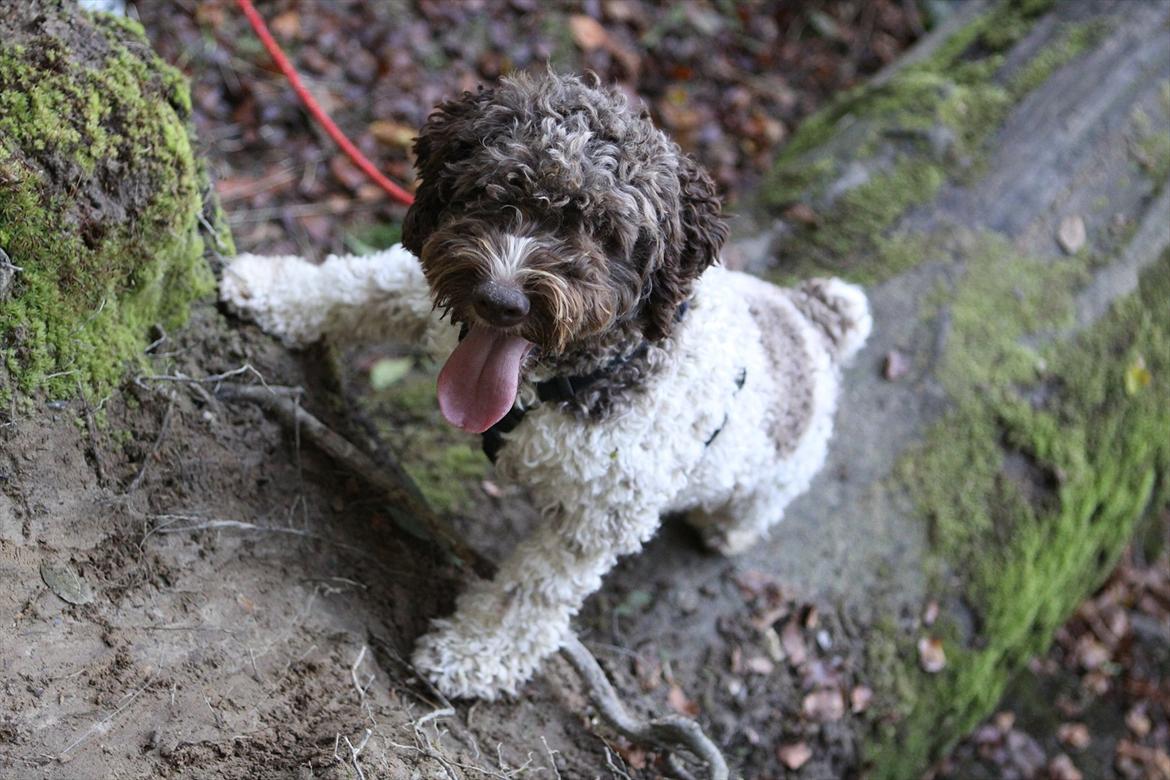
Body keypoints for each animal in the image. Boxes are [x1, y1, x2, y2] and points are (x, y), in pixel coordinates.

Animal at [219, 70, 870, 696]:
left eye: (604, 230)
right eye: (494, 190)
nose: (500, 301)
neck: (570, 378)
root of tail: (812, 318)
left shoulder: (598, 515)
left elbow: (532, 590)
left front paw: (475, 652)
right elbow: (358, 287)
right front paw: (269, 287)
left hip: (776, 476)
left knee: (753, 509)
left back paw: (726, 531)